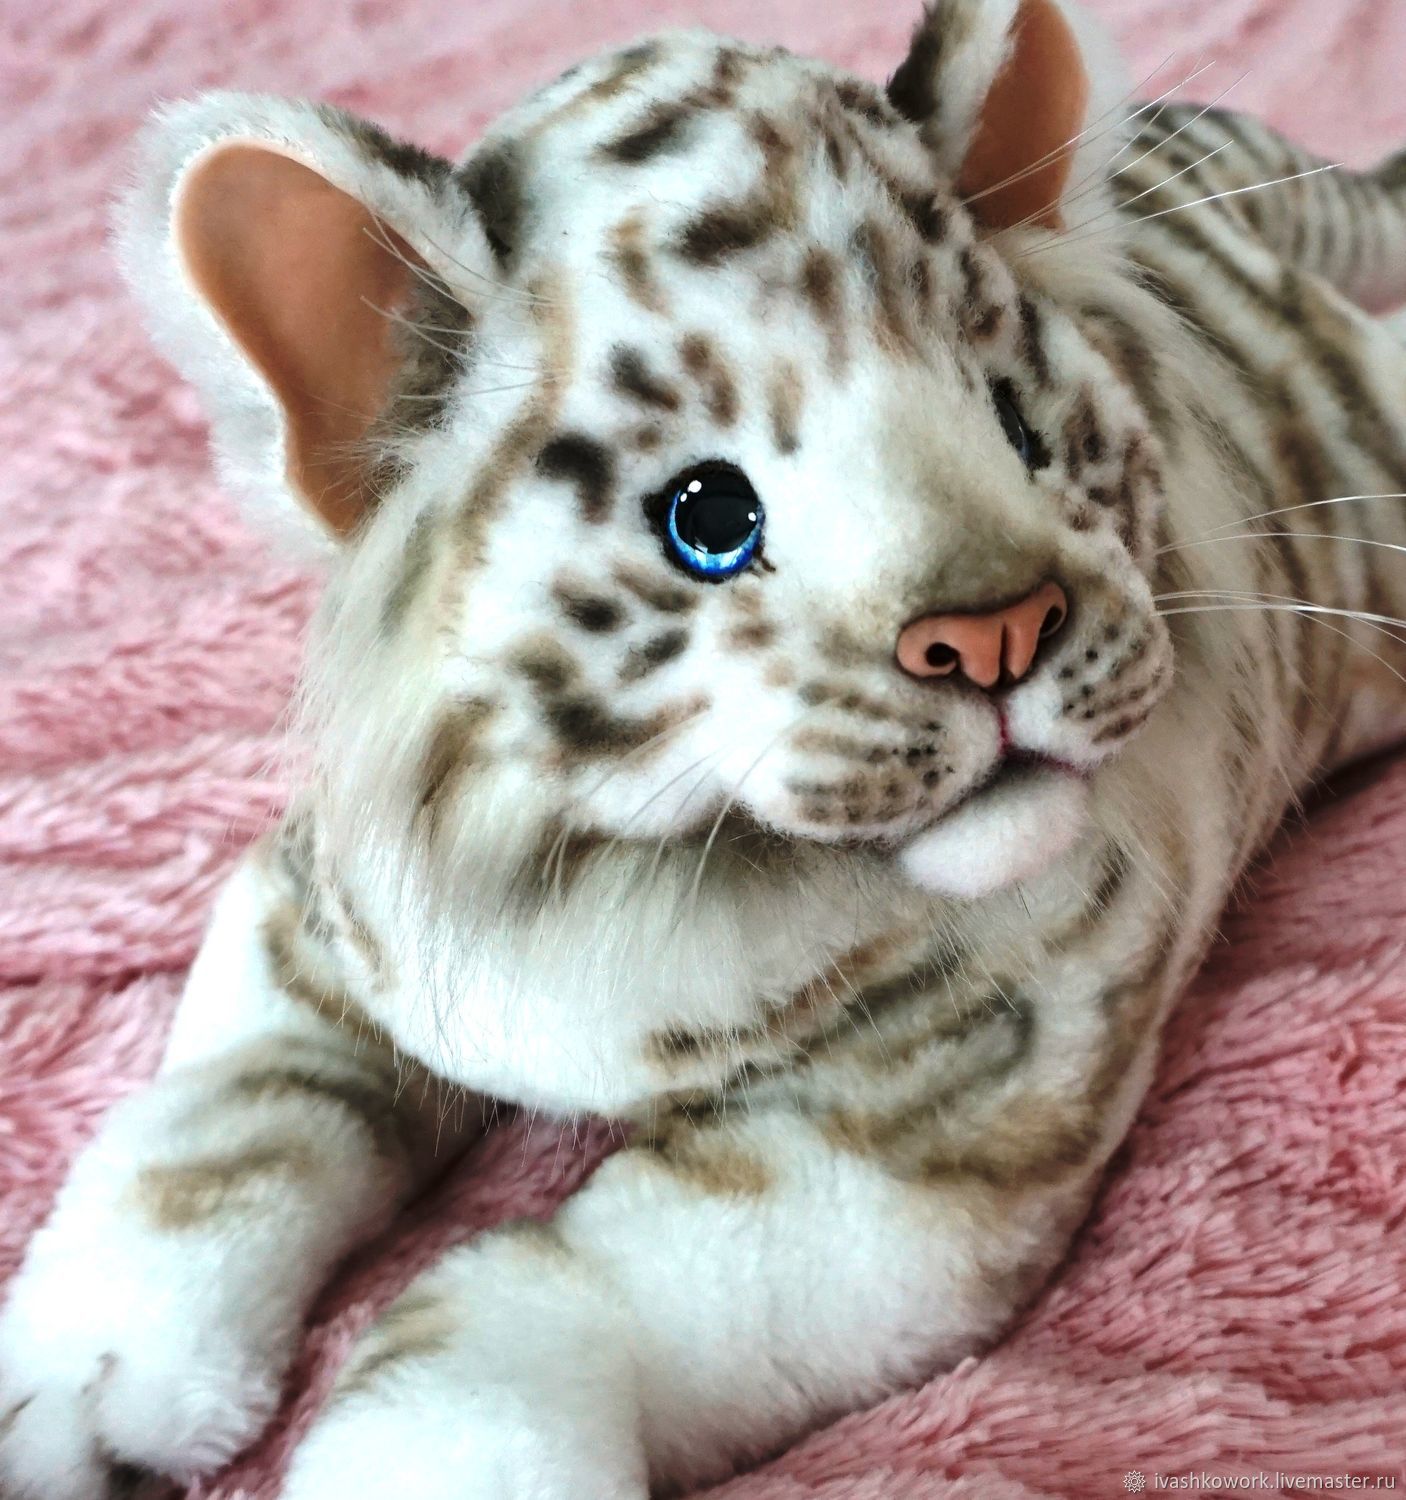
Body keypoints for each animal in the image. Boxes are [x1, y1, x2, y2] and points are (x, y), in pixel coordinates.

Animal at [3, 1, 1406, 1496]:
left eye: (1019, 428)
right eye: (708, 518)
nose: (998, 633)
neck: (612, 857)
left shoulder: (913, 1141)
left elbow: (523, 1292)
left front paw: (432, 1453)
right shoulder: (316, 914)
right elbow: (218, 1122)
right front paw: (75, 1392)